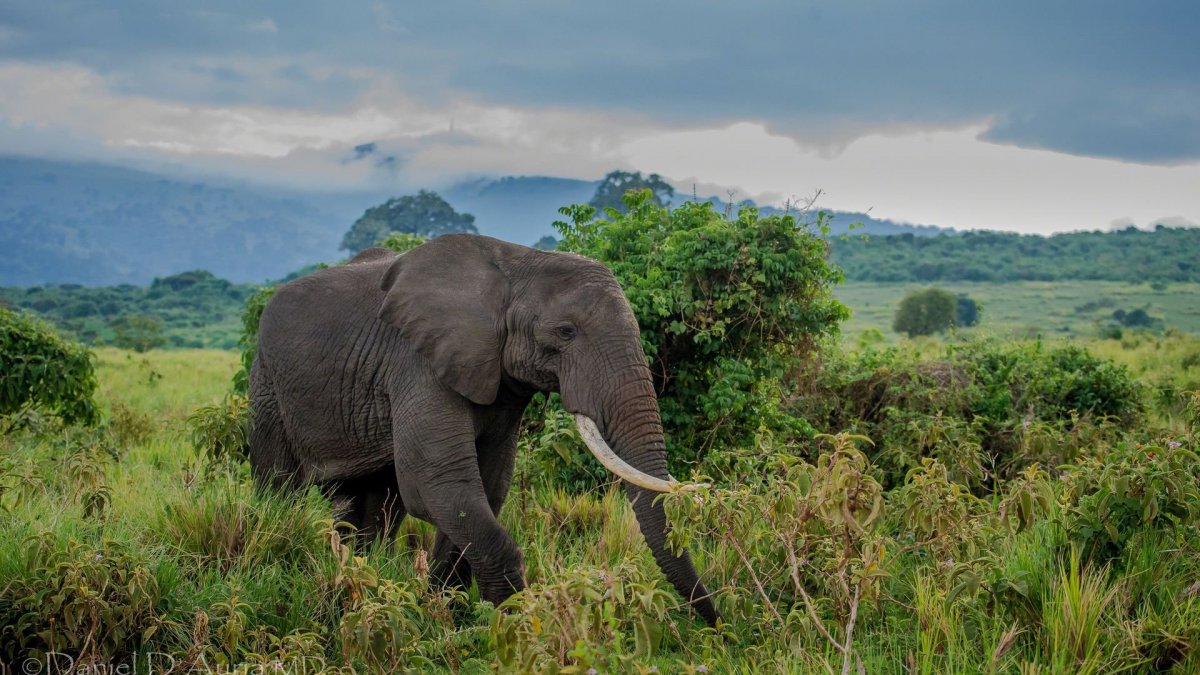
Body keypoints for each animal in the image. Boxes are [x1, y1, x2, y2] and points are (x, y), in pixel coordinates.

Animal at [248, 234, 715, 624]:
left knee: (375, 503)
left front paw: (446, 616)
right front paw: (513, 630)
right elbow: (437, 484)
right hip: (267, 383)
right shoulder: (418, 364)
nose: (715, 625)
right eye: (565, 331)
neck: (517, 266)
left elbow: (485, 488)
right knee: (280, 486)